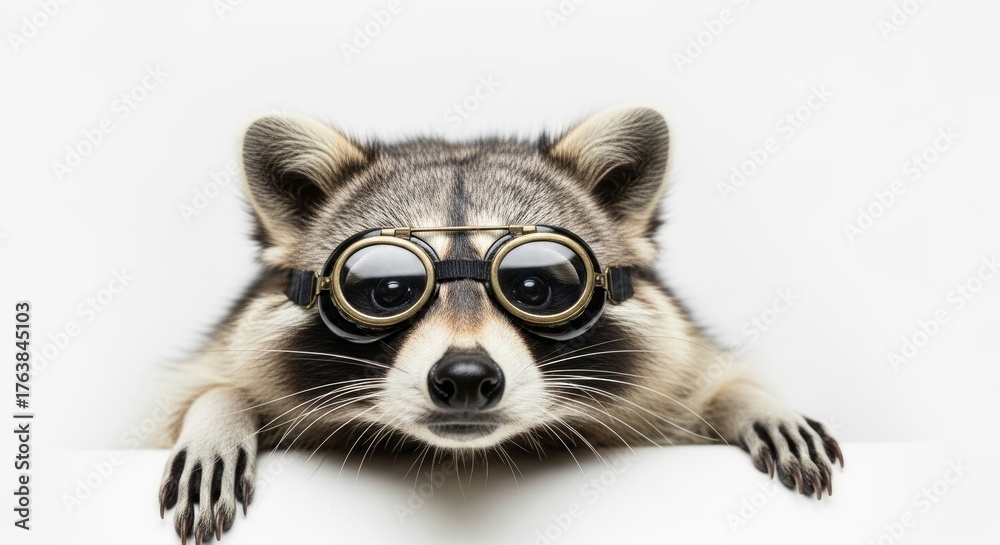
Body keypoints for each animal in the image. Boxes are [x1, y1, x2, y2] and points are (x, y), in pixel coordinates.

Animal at [155, 106, 842, 543]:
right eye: (388, 290)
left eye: (533, 286)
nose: (464, 377)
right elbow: (207, 385)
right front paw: (217, 411)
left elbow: (702, 380)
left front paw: (746, 398)